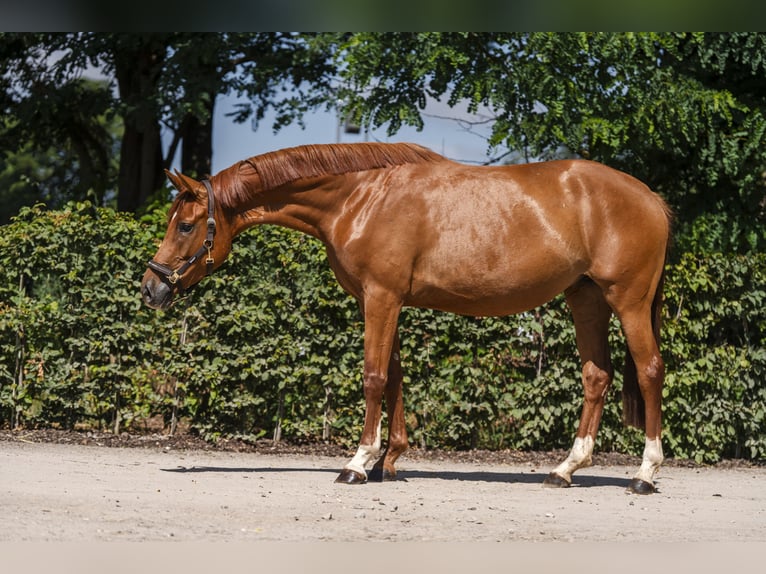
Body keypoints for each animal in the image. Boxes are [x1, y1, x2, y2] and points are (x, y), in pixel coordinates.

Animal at [141, 142, 671, 494]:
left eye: (185, 226)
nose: (151, 288)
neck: (360, 197)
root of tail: (651, 197)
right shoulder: (381, 300)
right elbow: (394, 376)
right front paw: (388, 461)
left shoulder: (381, 298)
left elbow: (374, 377)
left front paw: (358, 462)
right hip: (586, 299)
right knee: (596, 376)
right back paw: (565, 469)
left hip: (627, 301)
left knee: (649, 371)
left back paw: (644, 474)